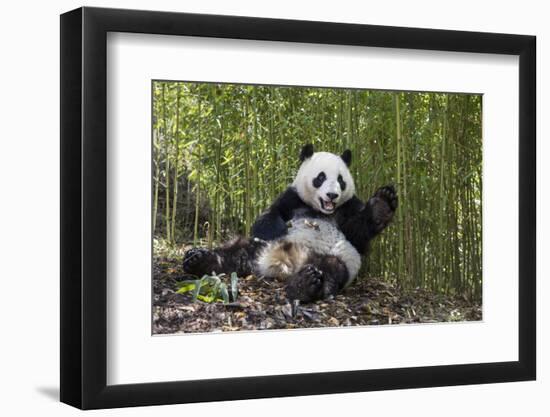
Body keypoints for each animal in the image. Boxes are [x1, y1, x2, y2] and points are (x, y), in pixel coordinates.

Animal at [183, 145, 398, 300]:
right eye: (321, 177)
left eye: (340, 180)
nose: (332, 195)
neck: (320, 210)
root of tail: (284, 266)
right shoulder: (292, 198)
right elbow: (270, 214)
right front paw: (278, 229)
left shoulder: (348, 208)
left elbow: (358, 232)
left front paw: (382, 204)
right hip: (256, 248)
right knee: (234, 252)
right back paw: (199, 260)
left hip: (338, 258)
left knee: (332, 269)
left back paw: (307, 284)